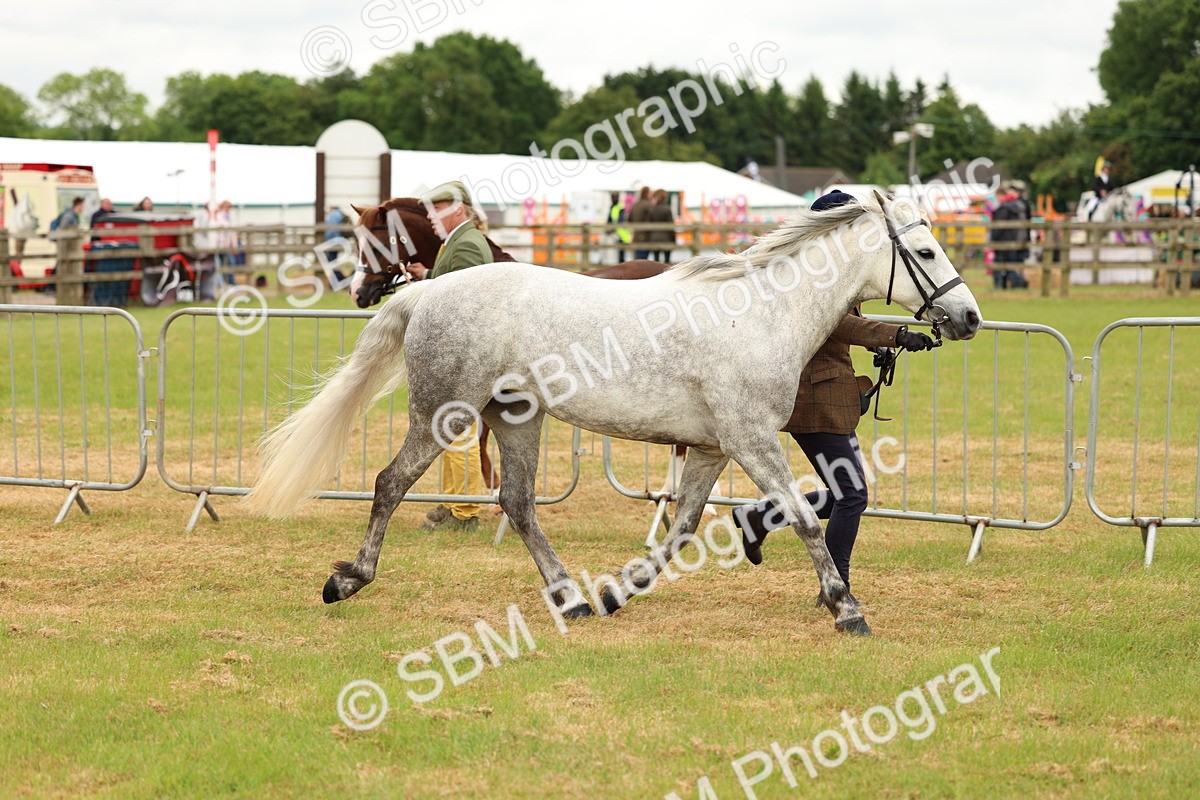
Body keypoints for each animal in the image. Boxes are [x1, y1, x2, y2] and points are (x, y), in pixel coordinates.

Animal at [247, 192, 981, 635]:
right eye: (924, 252)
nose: (968, 317)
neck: (760, 312)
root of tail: (428, 292)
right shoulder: (749, 439)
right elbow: (802, 515)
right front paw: (846, 607)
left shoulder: (713, 448)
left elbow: (681, 530)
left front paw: (618, 591)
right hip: (443, 413)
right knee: (391, 483)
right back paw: (347, 580)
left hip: (517, 416)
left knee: (517, 503)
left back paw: (571, 597)